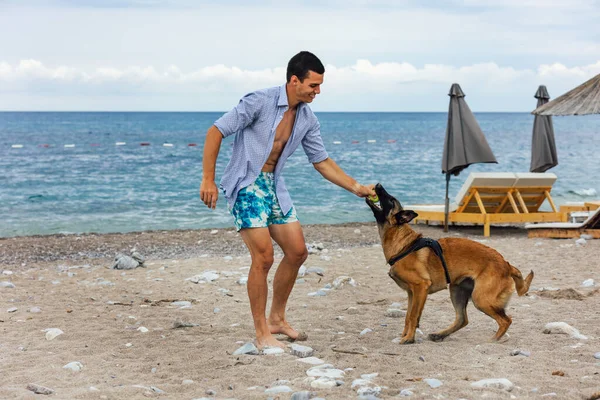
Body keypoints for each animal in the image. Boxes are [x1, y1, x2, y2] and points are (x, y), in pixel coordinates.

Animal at [366, 184, 536, 344]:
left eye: (390, 200)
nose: (378, 185)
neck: (405, 245)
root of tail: (506, 264)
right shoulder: (411, 293)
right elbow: (408, 317)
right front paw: (406, 335)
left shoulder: (421, 287)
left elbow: (413, 316)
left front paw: (409, 339)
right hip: (457, 290)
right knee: (462, 319)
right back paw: (439, 335)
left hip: (480, 299)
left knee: (506, 320)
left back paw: (492, 340)